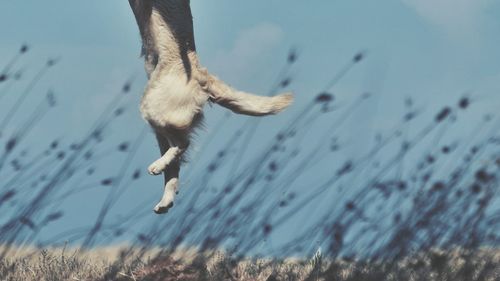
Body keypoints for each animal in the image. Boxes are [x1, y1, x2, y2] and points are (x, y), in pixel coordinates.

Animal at [129, 0, 292, 212]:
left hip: (154, 108)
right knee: (175, 164)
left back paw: (158, 167)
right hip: (161, 124)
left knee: (183, 144)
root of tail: (202, 77)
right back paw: (165, 198)